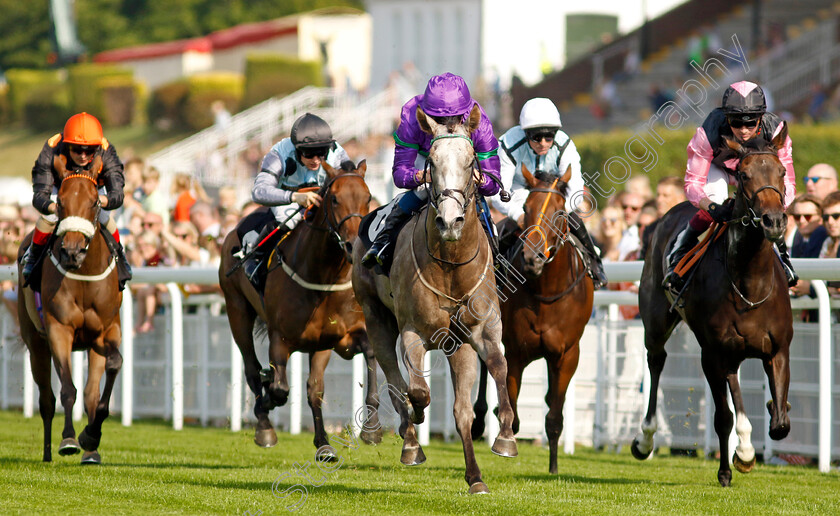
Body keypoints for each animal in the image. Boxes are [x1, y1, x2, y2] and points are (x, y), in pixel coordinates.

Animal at [18, 155, 123, 466]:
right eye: (61, 202)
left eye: (95, 202)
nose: (72, 252)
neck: (84, 275)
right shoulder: (59, 330)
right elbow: (67, 390)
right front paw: (68, 440)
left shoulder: (105, 332)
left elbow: (110, 371)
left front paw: (91, 437)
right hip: (36, 343)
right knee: (46, 399)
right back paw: (48, 452)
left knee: (89, 392)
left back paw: (90, 452)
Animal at [221, 159, 382, 454]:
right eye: (334, 198)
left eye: (368, 198)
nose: (353, 245)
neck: (322, 277)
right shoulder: (280, 338)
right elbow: (280, 388)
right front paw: (268, 398)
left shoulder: (335, 340)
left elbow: (319, 387)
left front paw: (366, 431)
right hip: (236, 310)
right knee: (251, 369)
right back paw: (264, 427)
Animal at [350, 106, 520, 496]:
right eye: (432, 162)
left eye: (471, 160)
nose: (450, 221)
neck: (451, 266)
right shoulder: (413, 333)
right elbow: (417, 390)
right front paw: (414, 418)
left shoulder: (479, 333)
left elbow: (496, 371)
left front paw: (502, 440)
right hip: (376, 317)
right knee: (395, 378)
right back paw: (410, 441)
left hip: (456, 345)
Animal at [470, 164, 592, 472]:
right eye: (526, 207)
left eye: (560, 212)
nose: (532, 257)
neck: (545, 291)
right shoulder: (516, 352)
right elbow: (512, 407)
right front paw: (505, 440)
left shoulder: (567, 355)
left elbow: (554, 417)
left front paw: (554, 467)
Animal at [632, 126, 792, 488]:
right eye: (744, 175)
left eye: (781, 172)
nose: (774, 221)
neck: (749, 284)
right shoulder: (712, 353)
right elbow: (722, 417)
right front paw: (727, 469)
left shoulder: (777, 351)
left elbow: (779, 424)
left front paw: (760, 431)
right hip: (657, 322)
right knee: (656, 360)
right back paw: (644, 439)